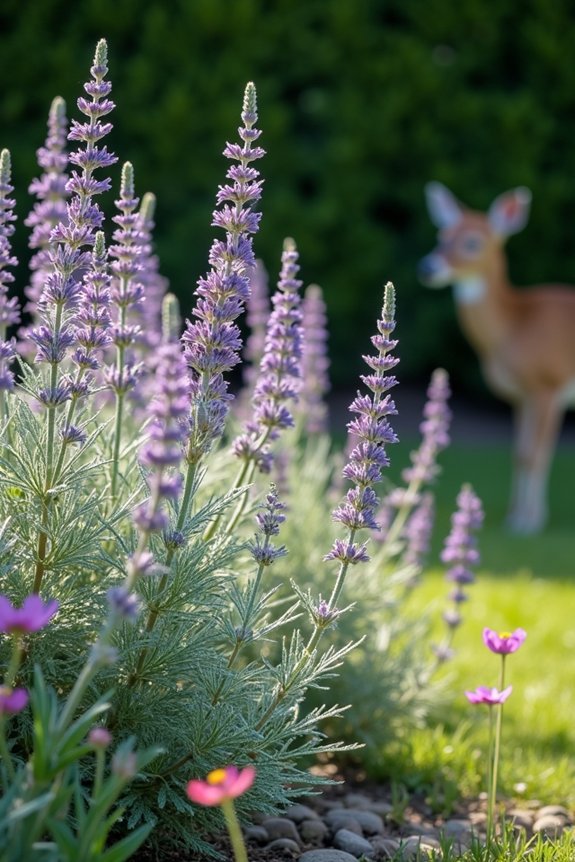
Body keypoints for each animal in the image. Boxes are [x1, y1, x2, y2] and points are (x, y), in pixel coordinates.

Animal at [418, 182, 575, 534]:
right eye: (442, 236)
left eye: (473, 242)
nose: (428, 268)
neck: (516, 327)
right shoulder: (522, 396)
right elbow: (519, 453)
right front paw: (516, 516)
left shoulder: (548, 384)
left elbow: (536, 455)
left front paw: (529, 524)